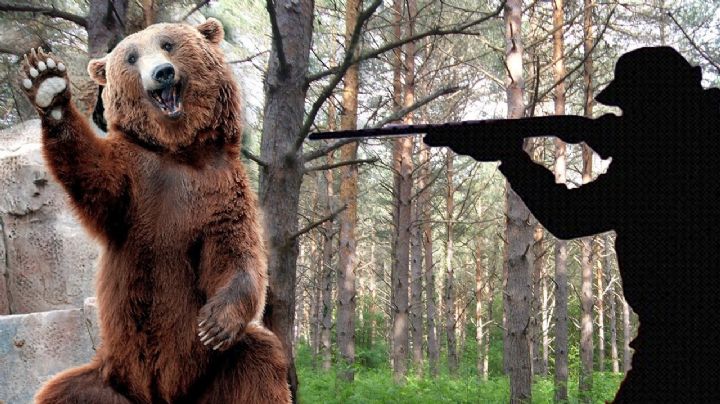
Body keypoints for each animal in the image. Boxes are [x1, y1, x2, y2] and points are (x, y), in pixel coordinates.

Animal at [19, 18, 291, 403]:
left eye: (168, 44)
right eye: (131, 57)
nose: (162, 73)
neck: (178, 151)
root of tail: (162, 398)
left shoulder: (221, 189)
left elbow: (235, 253)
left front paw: (215, 323)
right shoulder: (136, 182)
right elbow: (93, 174)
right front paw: (48, 84)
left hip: (216, 372)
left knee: (260, 359)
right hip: (109, 379)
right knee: (62, 391)